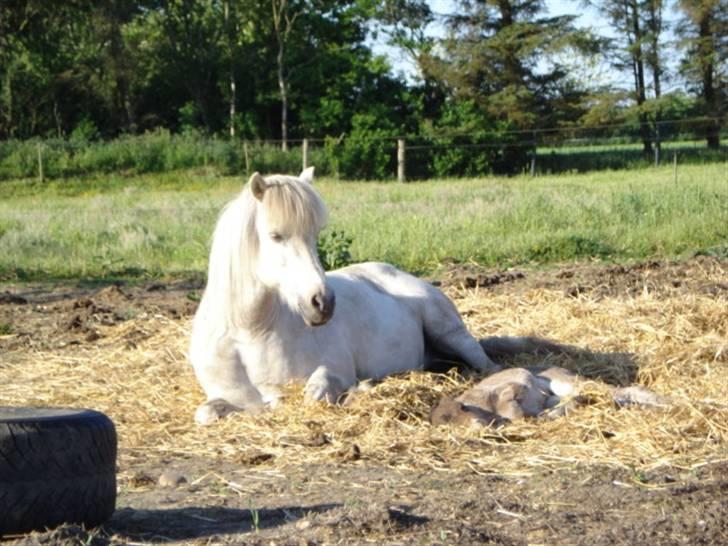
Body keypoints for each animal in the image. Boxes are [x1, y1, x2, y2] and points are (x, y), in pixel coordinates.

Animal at [189, 168, 500, 422]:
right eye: (275, 236)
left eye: (315, 235)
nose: (323, 302)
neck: (249, 332)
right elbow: (207, 413)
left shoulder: (332, 370)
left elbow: (312, 393)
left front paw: (359, 388)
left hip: (449, 332)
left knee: (487, 365)